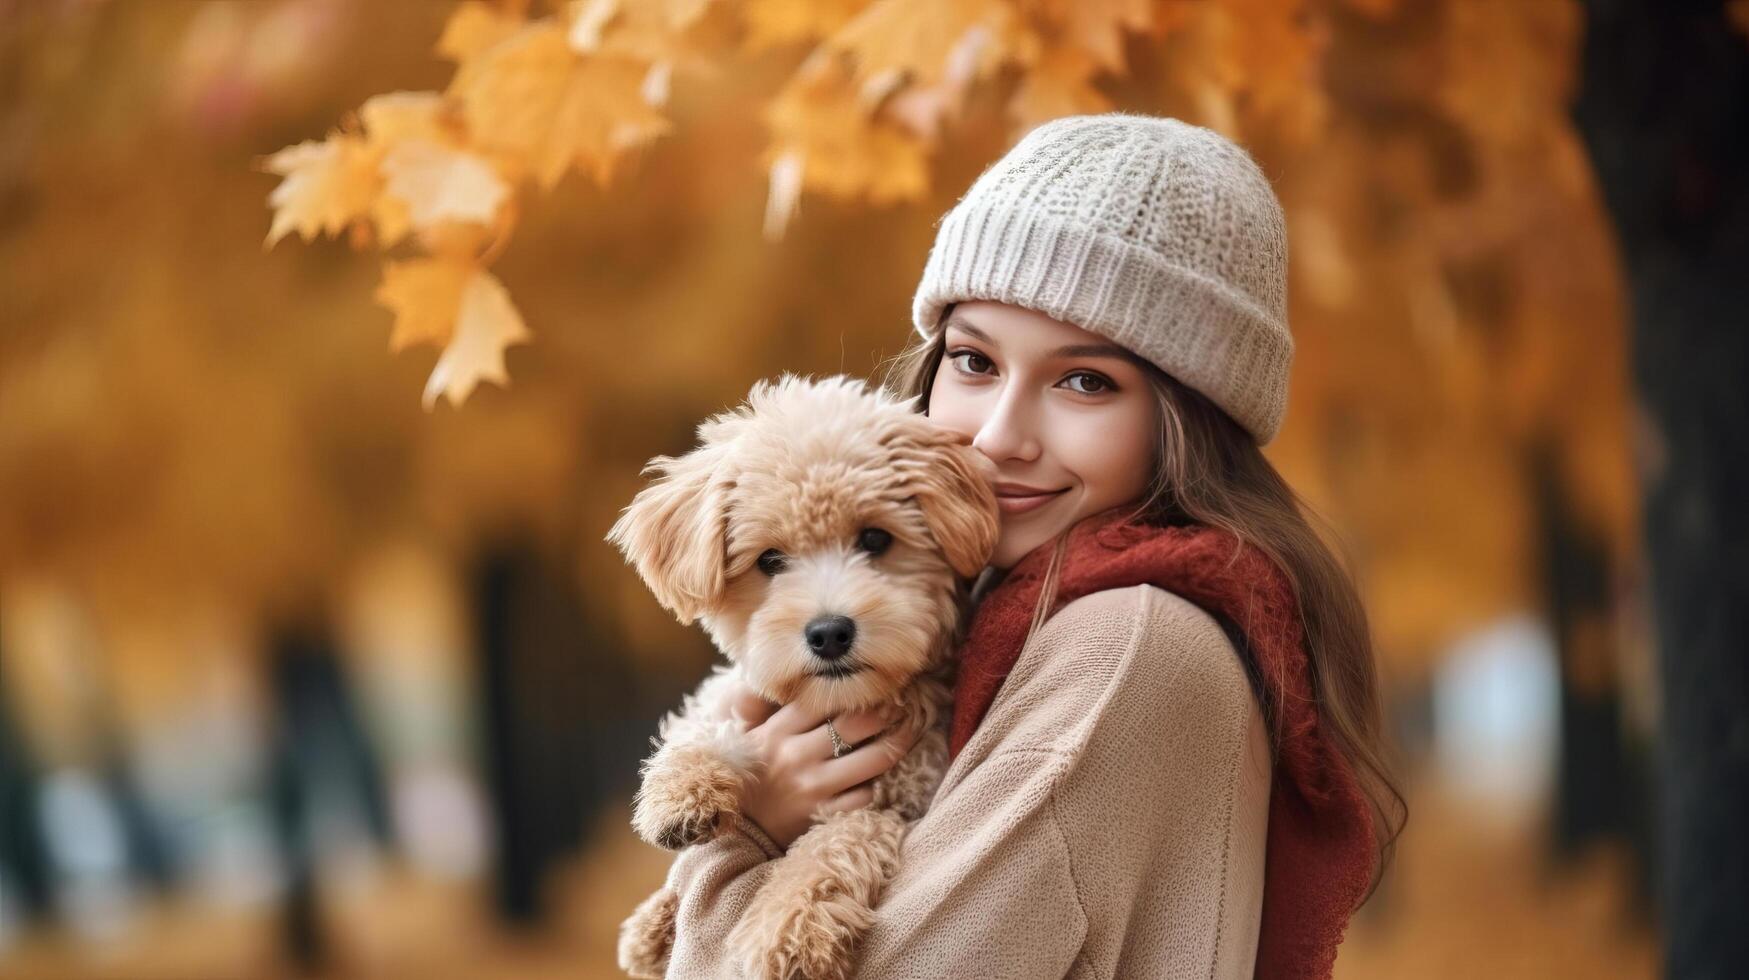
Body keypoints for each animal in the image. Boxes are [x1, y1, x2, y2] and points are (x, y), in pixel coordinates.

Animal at [612, 371, 1000, 973]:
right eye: (769, 561)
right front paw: (682, 791)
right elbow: (710, 713)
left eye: (875, 539)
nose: (829, 633)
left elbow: (837, 841)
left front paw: (788, 925)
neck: (839, 706)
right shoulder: (742, 690)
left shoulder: (905, 801)